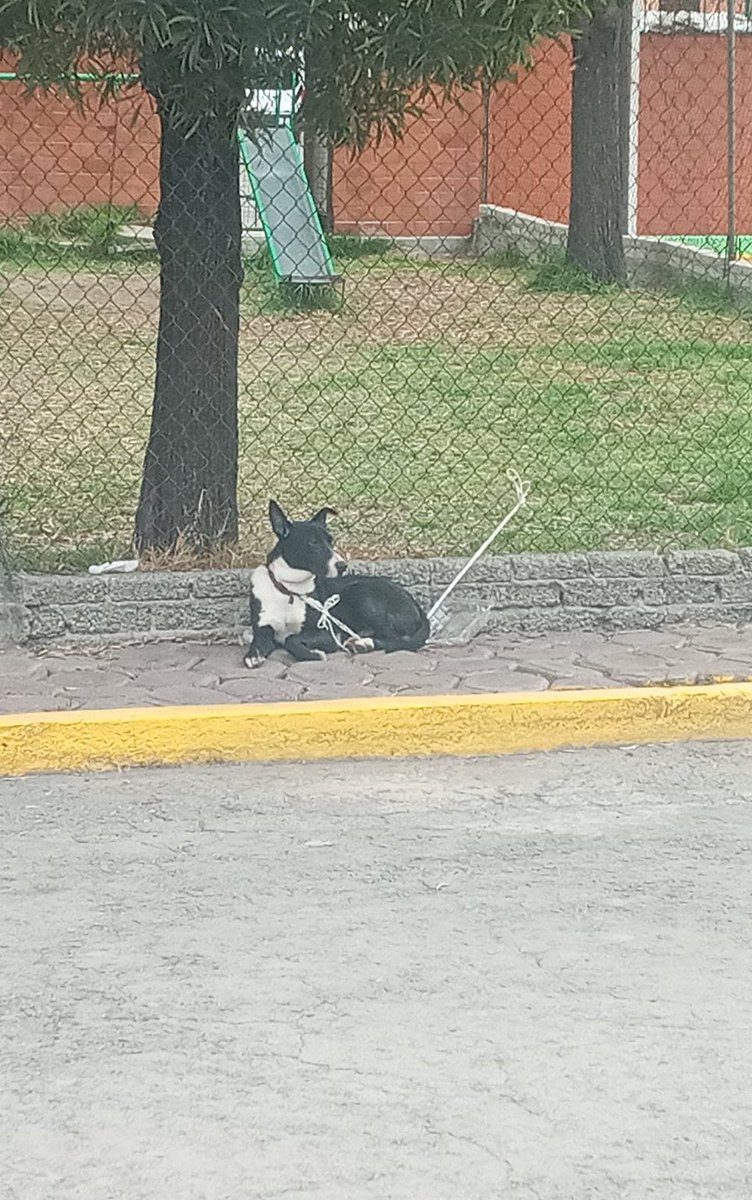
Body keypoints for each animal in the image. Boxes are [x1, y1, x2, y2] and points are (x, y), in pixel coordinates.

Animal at [244, 496, 431, 667]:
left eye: (330, 541)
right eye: (313, 542)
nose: (342, 565)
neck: (289, 589)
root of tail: (413, 601)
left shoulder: (329, 635)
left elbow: (292, 639)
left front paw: (313, 655)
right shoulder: (263, 631)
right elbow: (256, 648)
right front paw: (253, 655)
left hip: (360, 592)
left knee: (397, 639)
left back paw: (365, 643)